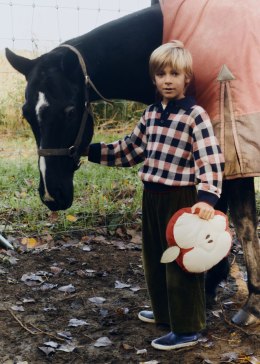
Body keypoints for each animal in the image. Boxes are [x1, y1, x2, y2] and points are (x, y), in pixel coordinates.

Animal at [4, 2, 260, 328]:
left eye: (70, 110)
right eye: (27, 113)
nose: (51, 194)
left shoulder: (229, 146)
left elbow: (242, 220)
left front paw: (248, 302)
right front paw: (212, 284)